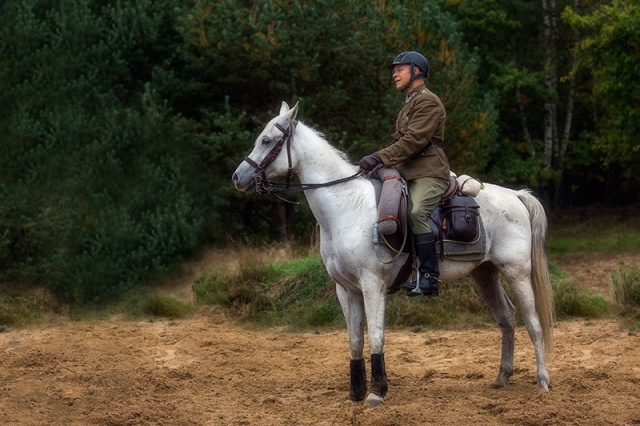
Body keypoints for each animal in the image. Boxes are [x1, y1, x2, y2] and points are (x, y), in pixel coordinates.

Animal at [231, 101, 556, 404]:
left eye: (267, 140)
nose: (238, 177)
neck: (345, 205)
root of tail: (514, 195)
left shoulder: (372, 284)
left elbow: (376, 336)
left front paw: (376, 392)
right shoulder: (346, 290)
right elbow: (354, 340)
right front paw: (355, 393)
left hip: (516, 273)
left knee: (533, 324)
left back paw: (542, 381)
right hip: (485, 275)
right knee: (507, 318)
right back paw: (502, 377)